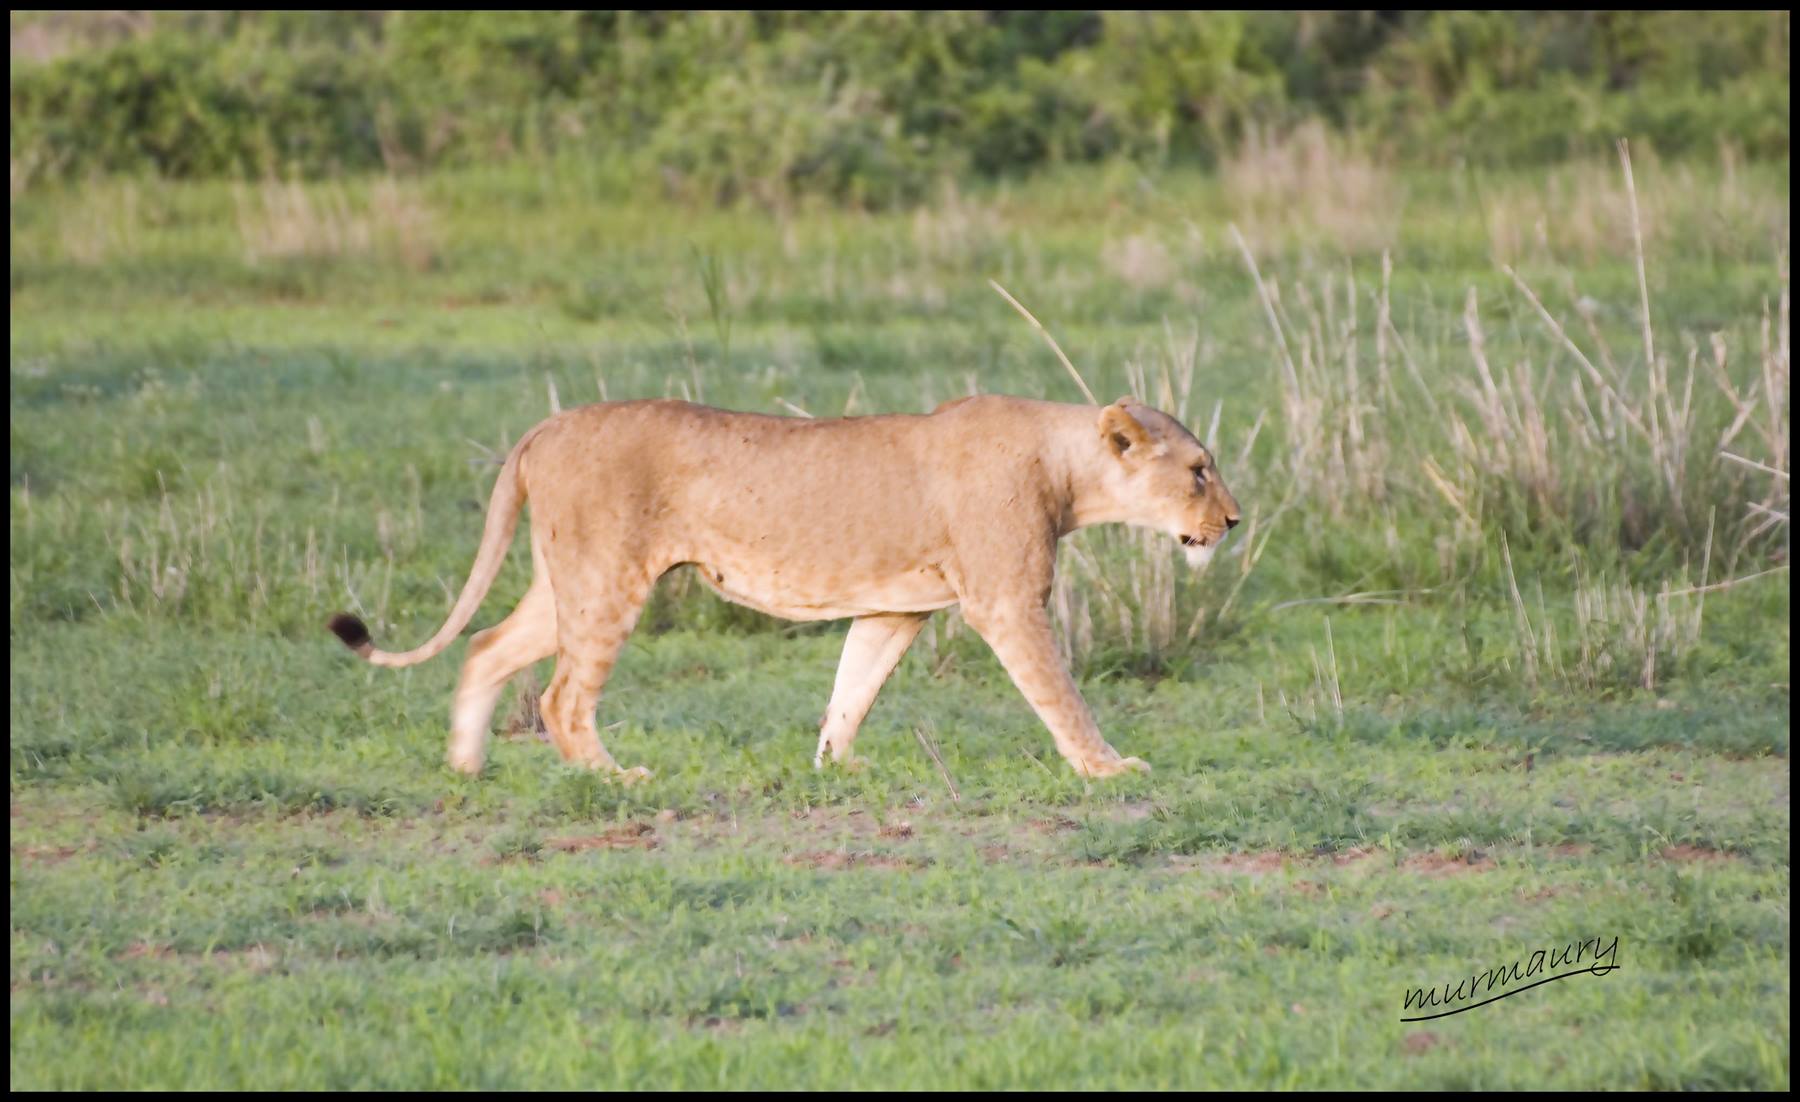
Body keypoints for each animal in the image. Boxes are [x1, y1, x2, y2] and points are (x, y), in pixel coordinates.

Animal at [328, 395, 1240, 780]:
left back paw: (464, 767)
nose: (1232, 521)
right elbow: (1060, 694)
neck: (1065, 463)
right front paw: (1109, 768)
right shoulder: (1007, 602)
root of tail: (544, 427)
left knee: (485, 647)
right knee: (559, 697)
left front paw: (835, 766)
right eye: (1199, 471)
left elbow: (853, 687)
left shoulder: (894, 608)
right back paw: (614, 778)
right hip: (607, 577)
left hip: (568, 582)